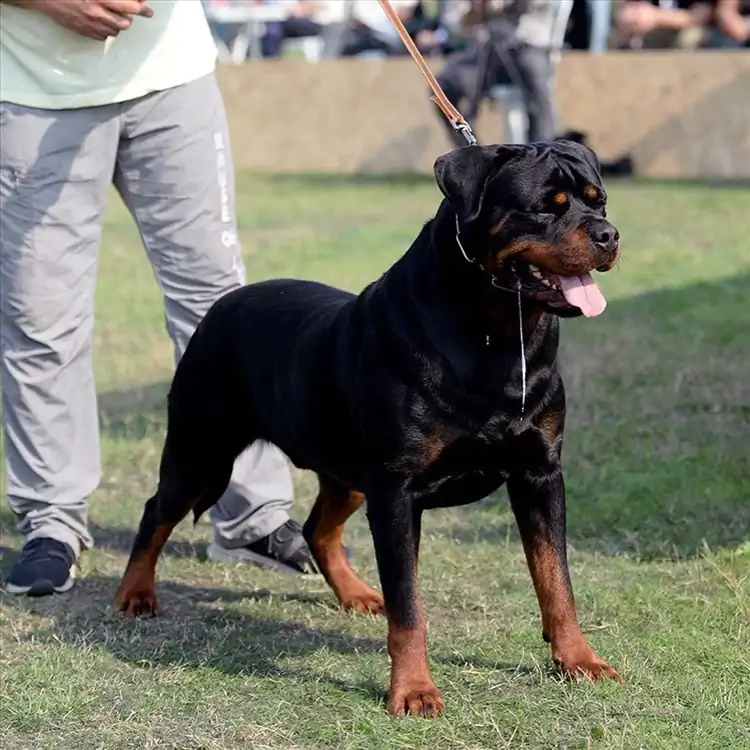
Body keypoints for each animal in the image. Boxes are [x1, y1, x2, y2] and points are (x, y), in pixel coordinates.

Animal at [116, 142, 624, 724]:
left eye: (598, 200)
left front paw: (578, 659)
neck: (497, 334)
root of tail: (219, 307)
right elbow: (409, 606)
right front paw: (413, 690)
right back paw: (135, 594)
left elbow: (556, 579)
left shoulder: (539, 474)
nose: (609, 235)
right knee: (157, 510)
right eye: (544, 208)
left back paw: (356, 594)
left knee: (318, 528)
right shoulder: (397, 493)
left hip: (347, 474)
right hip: (202, 451)